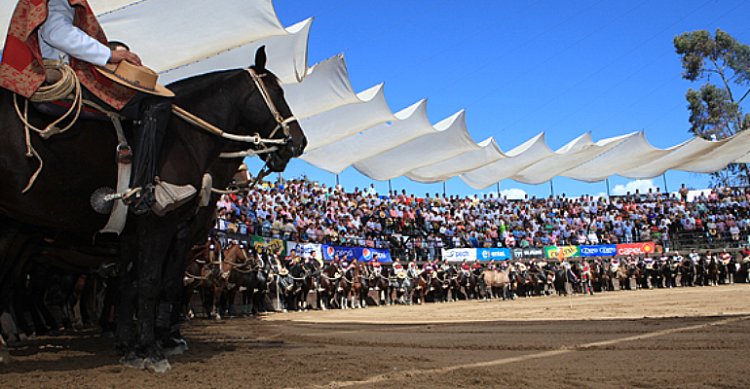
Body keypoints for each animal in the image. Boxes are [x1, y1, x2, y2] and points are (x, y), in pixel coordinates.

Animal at [0, 47, 308, 370]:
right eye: (277, 92)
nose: (299, 141)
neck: (182, 137)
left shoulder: (137, 234)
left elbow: (132, 286)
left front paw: (132, 345)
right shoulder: (163, 227)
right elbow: (153, 283)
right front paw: (154, 346)